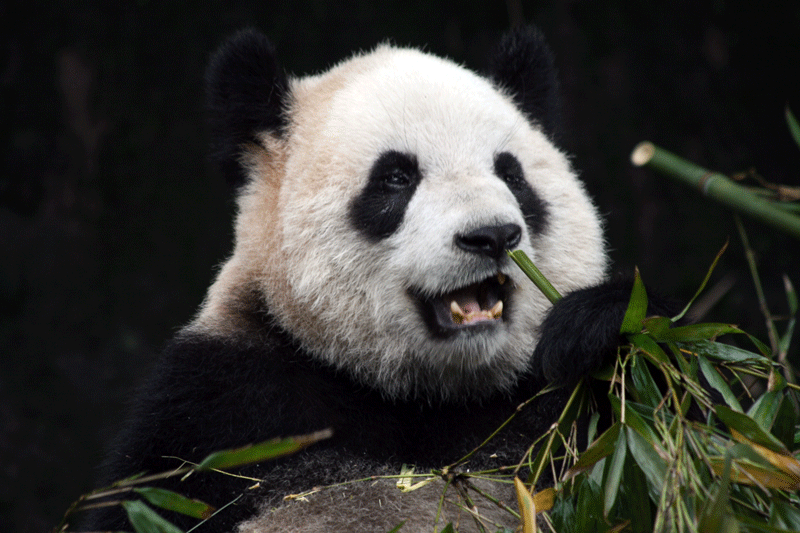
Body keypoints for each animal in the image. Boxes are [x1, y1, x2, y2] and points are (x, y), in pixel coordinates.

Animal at [80, 26, 669, 533]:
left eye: (512, 174)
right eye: (396, 178)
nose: (492, 236)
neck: (421, 394)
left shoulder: (543, 414)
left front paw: (599, 327)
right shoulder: (218, 409)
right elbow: (154, 496)